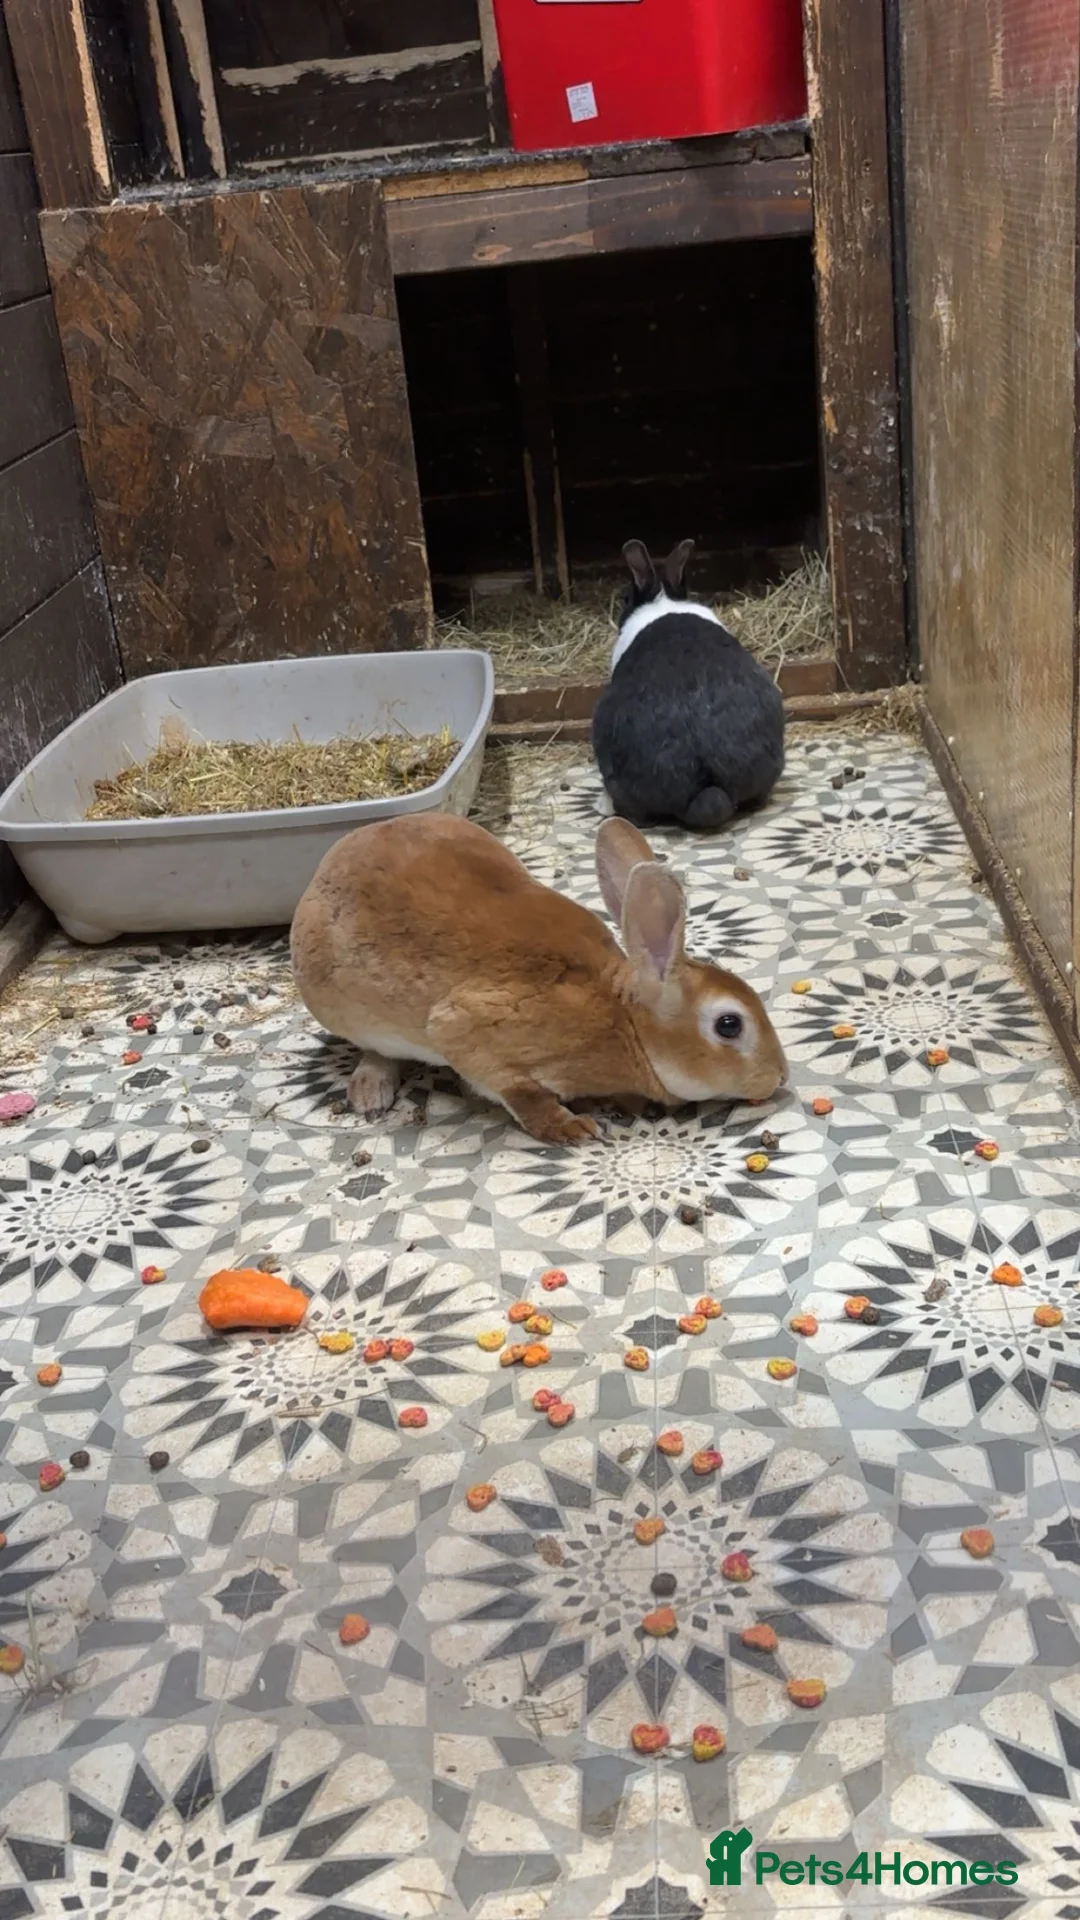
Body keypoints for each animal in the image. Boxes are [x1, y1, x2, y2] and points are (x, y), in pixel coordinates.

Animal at [291, 811, 787, 1145]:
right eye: (729, 1025)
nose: (779, 1077)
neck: (624, 1019)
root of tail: (320, 873)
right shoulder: (469, 1033)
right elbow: (518, 1092)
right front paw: (572, 1127)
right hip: (349, 1010)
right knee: (375, 1049)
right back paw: (370, 1091)